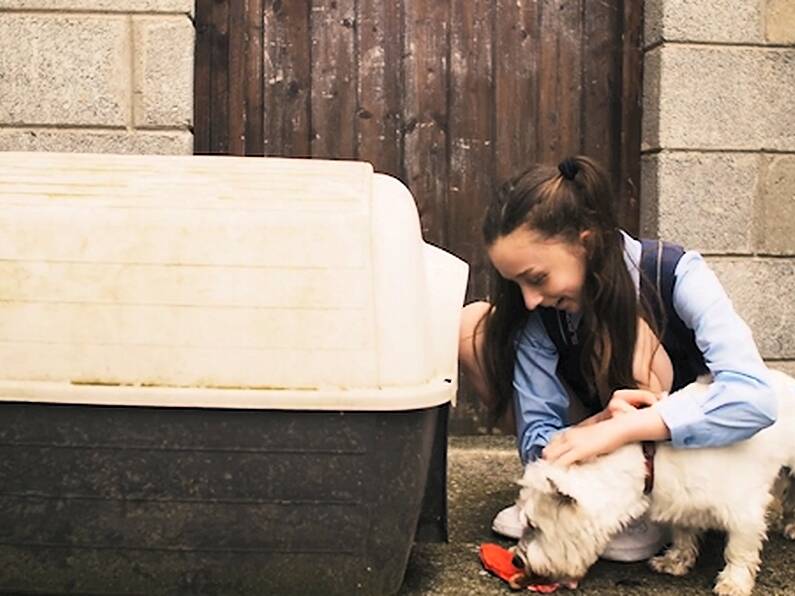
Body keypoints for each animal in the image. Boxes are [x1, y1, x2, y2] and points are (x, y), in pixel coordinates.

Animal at [510, 370, 795, 592]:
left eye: (533, 525)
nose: (516, 562)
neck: (649, 460)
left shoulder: (744, 511)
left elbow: (739, 550)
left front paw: (733, 582)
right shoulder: (683, 503)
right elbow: (683, 535)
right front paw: (675, 561)